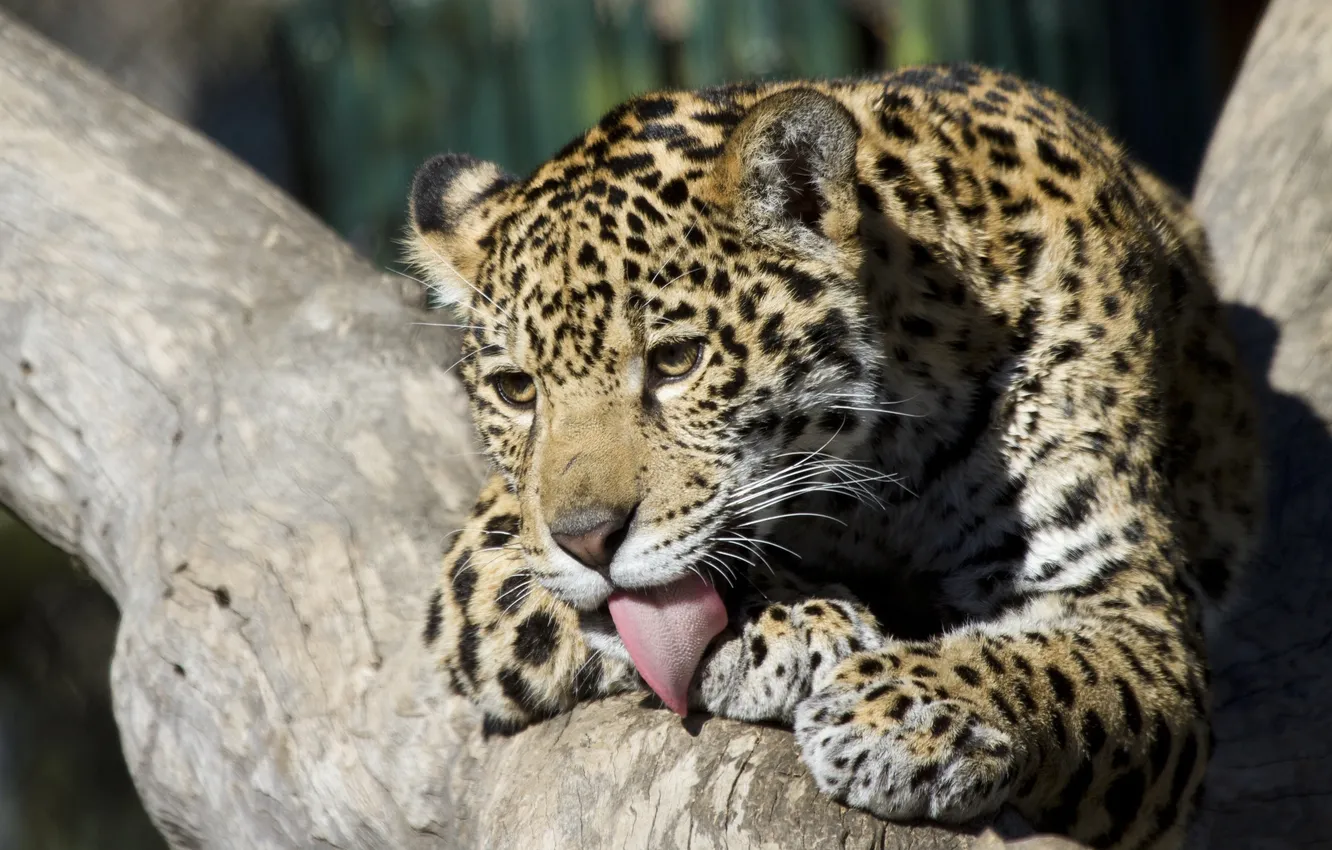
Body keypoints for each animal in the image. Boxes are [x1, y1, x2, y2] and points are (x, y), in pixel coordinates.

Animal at [406, 64, 1261, 850]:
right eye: (517, 390)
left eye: (677, 361)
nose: (587, 540)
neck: (875, 480)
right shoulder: (487, 552)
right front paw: (787, 623)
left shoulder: (1132, 611)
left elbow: (1058, 668)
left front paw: (909, 710)